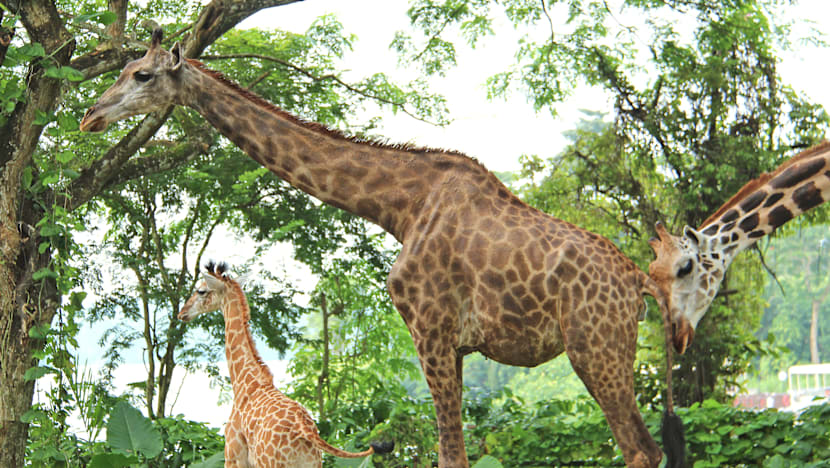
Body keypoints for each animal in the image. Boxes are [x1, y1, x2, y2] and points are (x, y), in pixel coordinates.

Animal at [178, 261, 389, 467]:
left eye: (201, 291)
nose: (182, 313)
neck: (244, 383)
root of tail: (306, 434)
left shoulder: (233, 455)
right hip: (313, 464)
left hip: (271, 464)